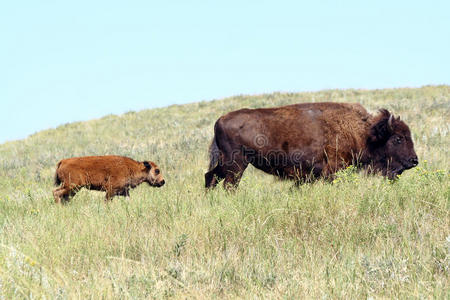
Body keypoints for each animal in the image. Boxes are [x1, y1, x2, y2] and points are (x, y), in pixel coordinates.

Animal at [205, 102, 418, 189]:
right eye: (398, 138)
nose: (414, 161)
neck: (364, 133)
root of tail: (220, 120)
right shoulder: (333, 171)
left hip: (226, 164)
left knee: (210, 177)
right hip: (236, 165)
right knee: (228, 185)